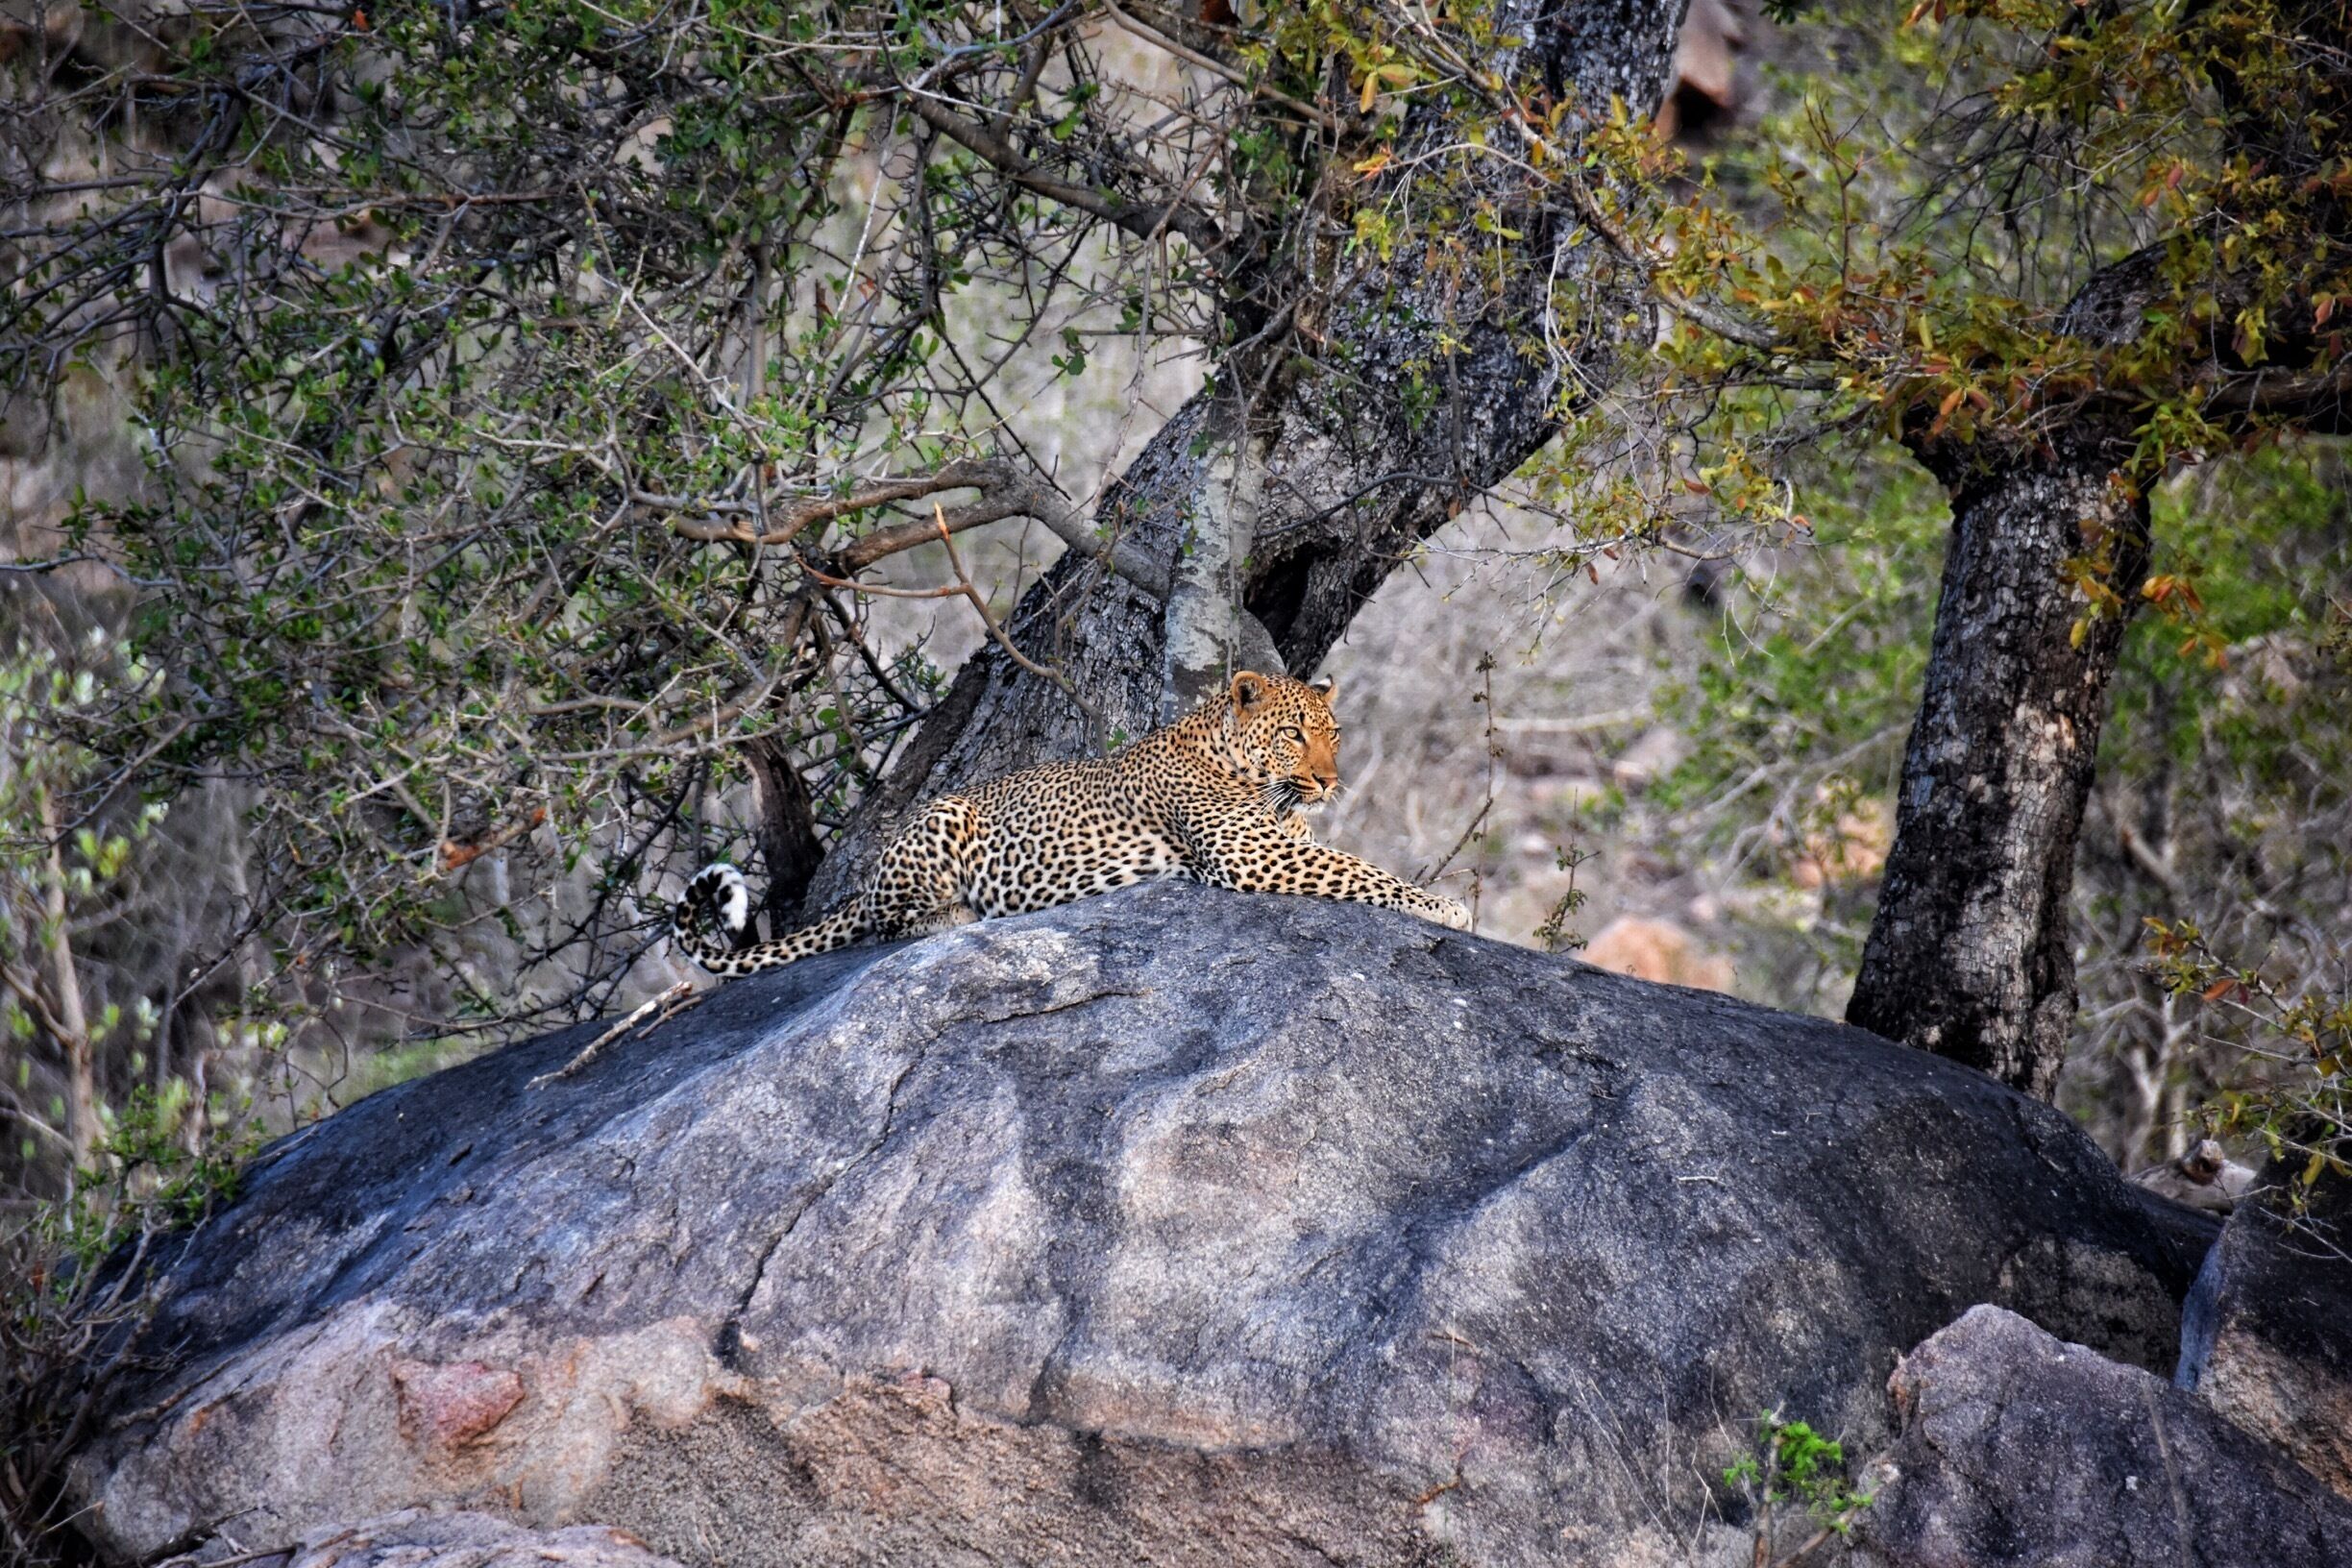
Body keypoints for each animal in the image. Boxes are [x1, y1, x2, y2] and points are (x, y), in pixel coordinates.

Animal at [672, 670, 1471, 977]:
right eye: (1294, 735)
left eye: (1333, 733)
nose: (1332, 782)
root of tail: (869, 873)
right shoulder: (1252, 856)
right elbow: (1362, 871)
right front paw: (1447, 906)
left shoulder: (1281, 844)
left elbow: (1354, 861)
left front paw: (1445, 902)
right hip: (944, 819)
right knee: (886, 923)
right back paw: (956, 916)